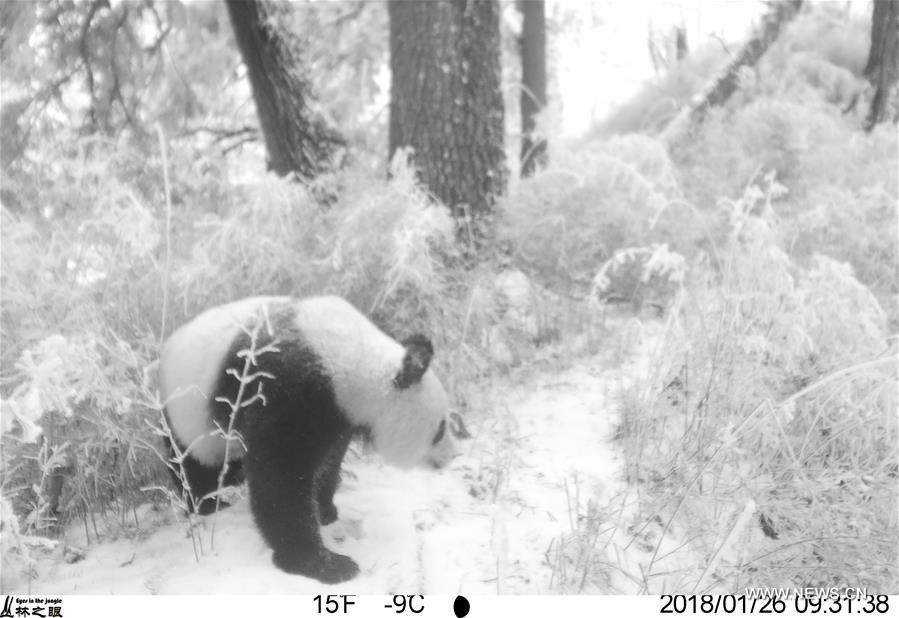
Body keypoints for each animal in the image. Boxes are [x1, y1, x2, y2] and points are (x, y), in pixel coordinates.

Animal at [157, 294, 460, 584]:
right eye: (440, 429)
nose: (451, 456)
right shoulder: (286, 390)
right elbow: (280, 478)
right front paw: (326, 565)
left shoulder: (336, 412)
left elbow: (327, 462)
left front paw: (325, 510)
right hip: (184, 411)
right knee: (190, 463)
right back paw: (208, 503)